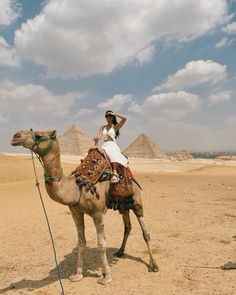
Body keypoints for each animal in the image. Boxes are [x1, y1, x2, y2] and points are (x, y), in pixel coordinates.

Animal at [11, 129, 159, 284]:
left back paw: (153, 265)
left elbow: (101, 244)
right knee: (127, 226)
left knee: (145, 233)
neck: (76, 187)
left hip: (136, 201)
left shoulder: (98, 213)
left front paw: (106, 276)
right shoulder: (76, 212)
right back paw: (119, 252)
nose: (16, 136)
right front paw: (77, 274)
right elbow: (81, 244)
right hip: (123, 205)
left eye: (40, 135)